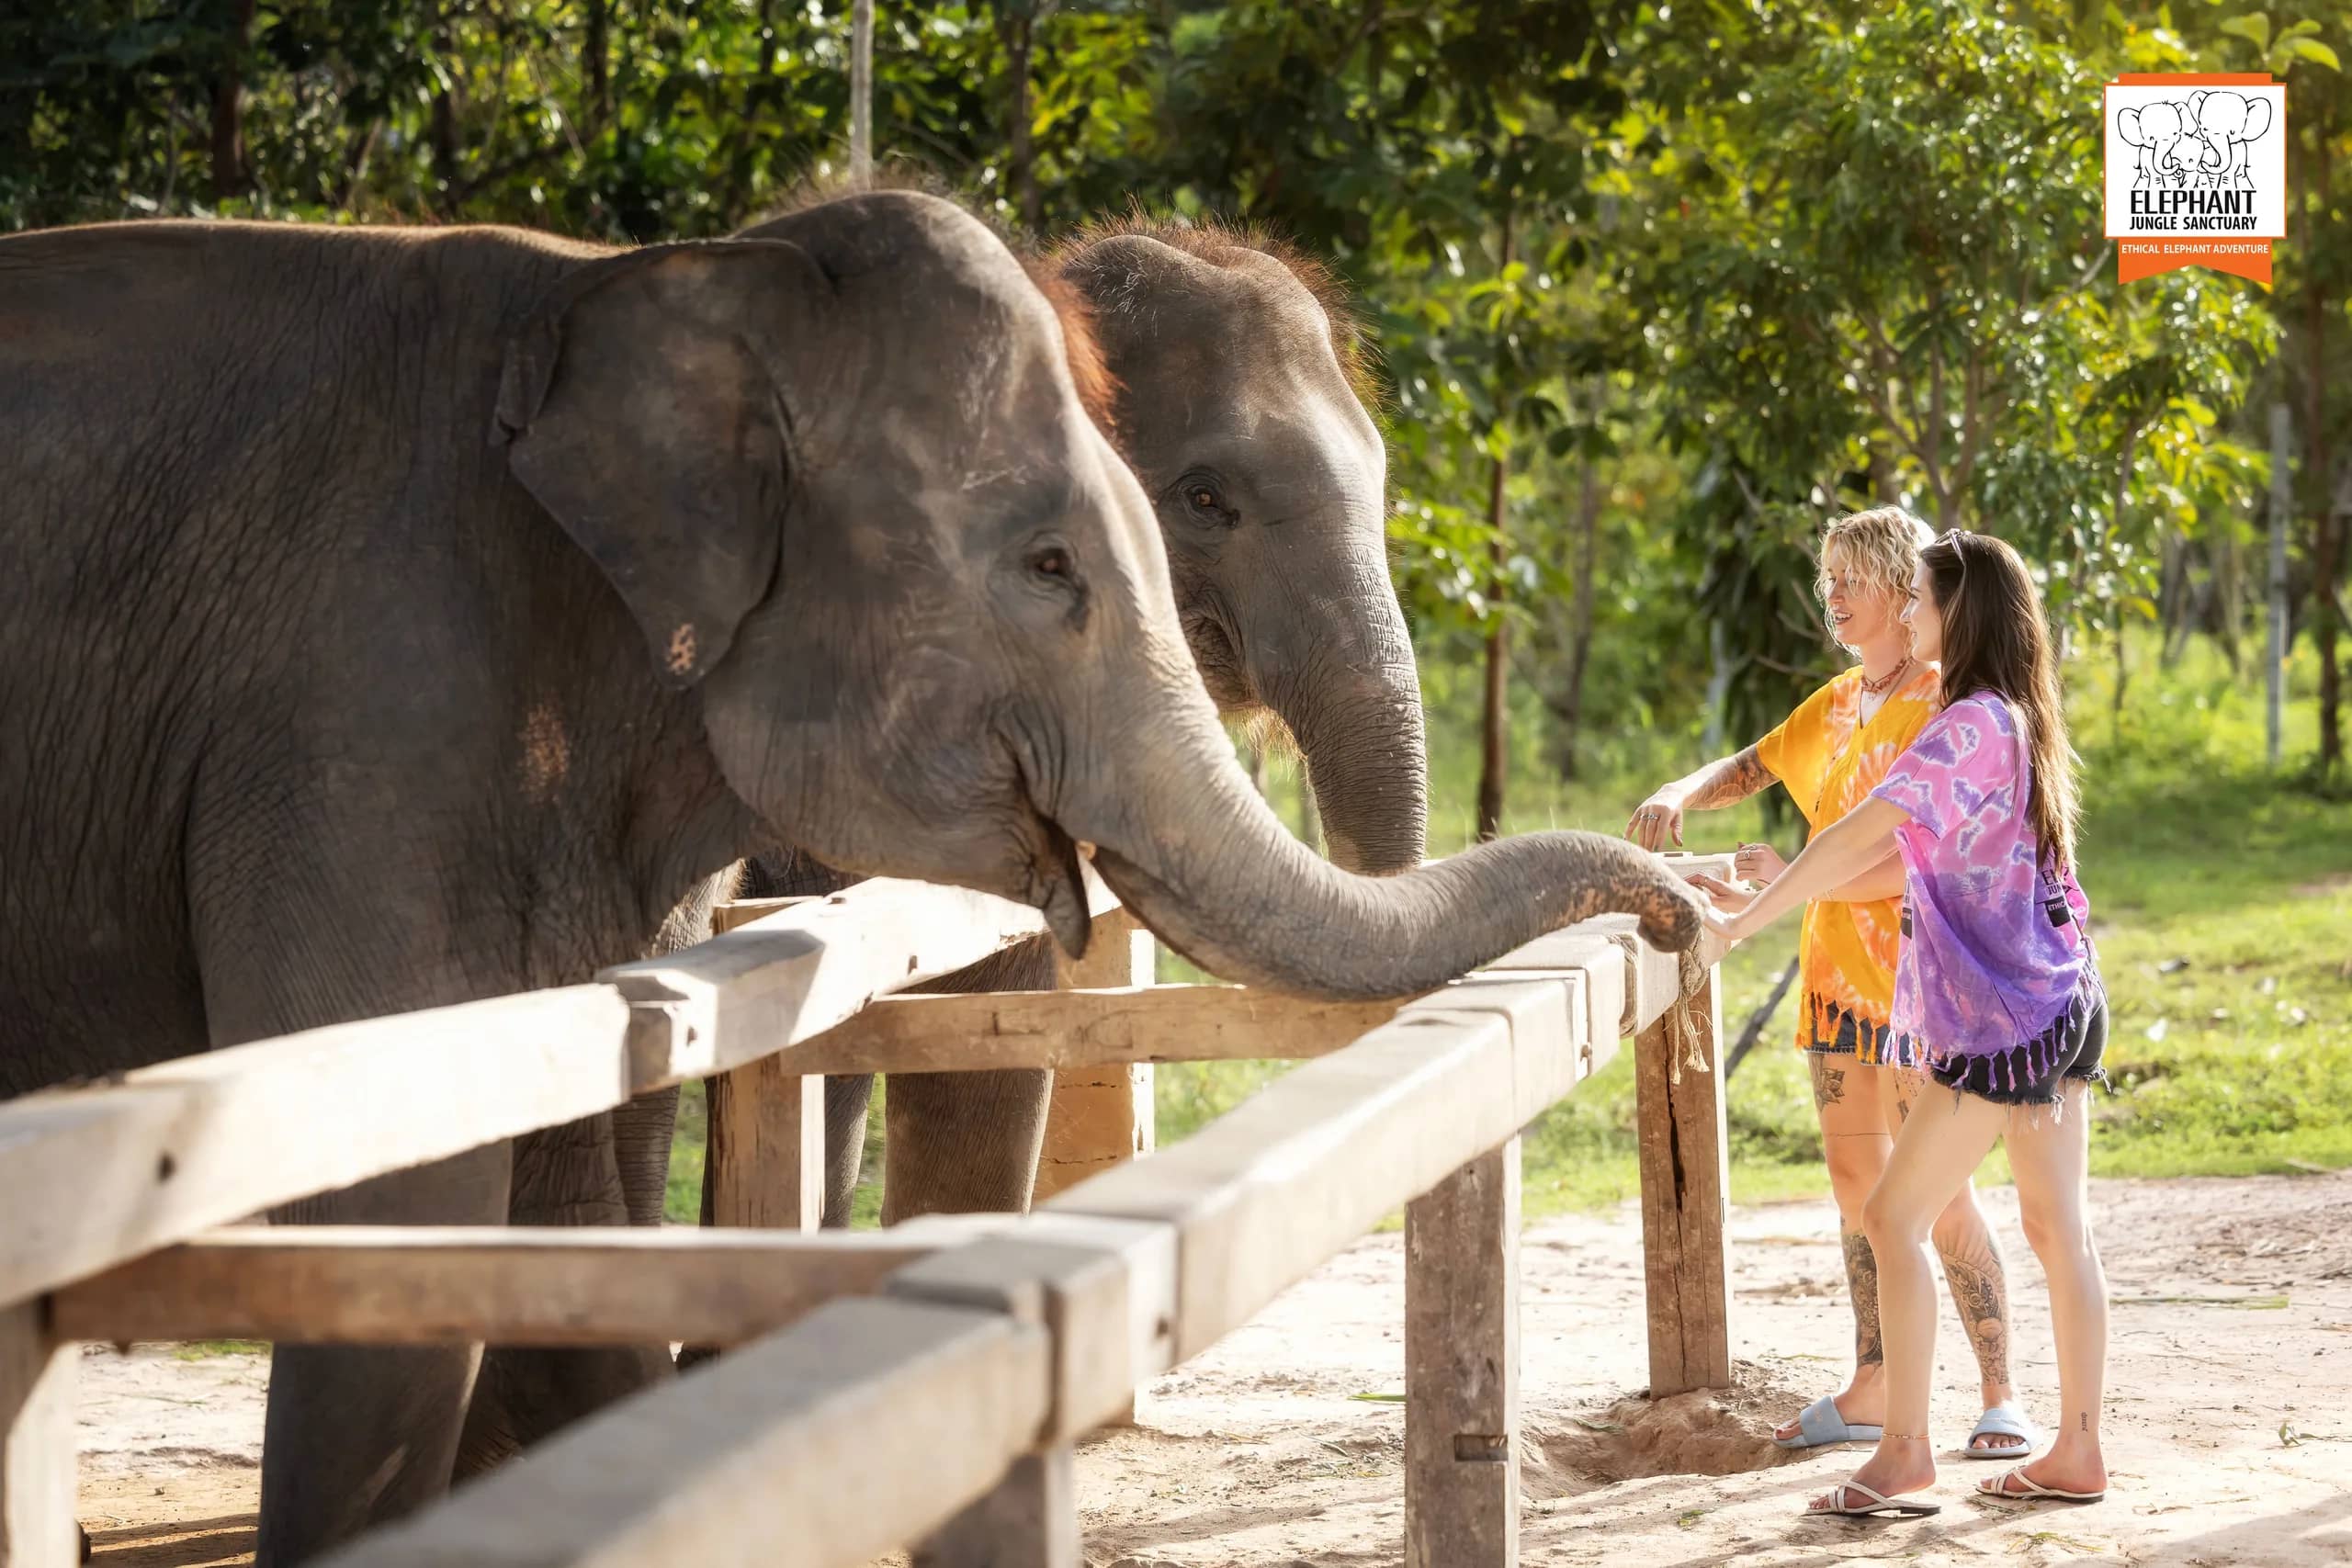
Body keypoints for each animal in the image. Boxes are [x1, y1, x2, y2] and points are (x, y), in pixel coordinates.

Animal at [0, 190, 1699, 1562]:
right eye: (1190, 506)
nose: (1677, 904)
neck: (664, 282)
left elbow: (607, 1155)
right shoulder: (365, 706)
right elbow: (411, 1190)